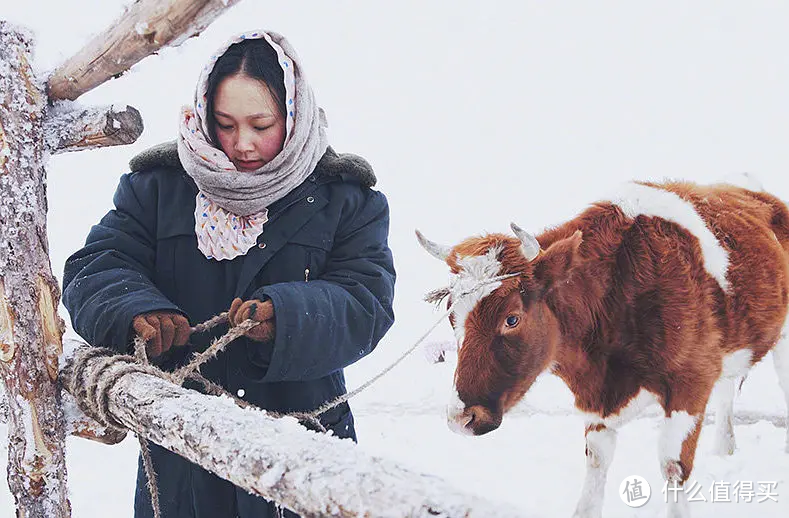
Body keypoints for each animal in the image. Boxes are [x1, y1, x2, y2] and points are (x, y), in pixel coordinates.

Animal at [418, 181, 788, 516]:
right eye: (451, 315)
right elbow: (597, 460)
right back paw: (724, 449)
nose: (461, 417)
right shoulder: (597, 404)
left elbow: (673, 465)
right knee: (728, 389)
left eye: (511, 318)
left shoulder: (691, 383)